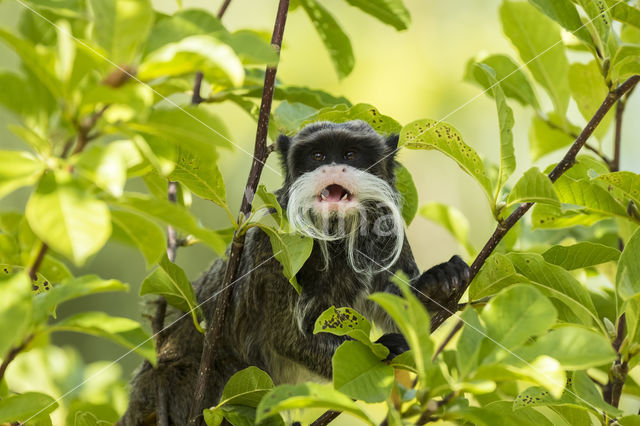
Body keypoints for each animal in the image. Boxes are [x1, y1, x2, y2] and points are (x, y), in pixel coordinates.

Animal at [120, 120, 470, 426]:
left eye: (350, 155)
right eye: (317, 156)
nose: (332, 168)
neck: (336, 235)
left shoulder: (389, 228)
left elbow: (404, 311)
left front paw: (439, 282)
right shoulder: (271, 242)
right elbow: (287, 337)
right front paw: (384, 350)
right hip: (185, 385)